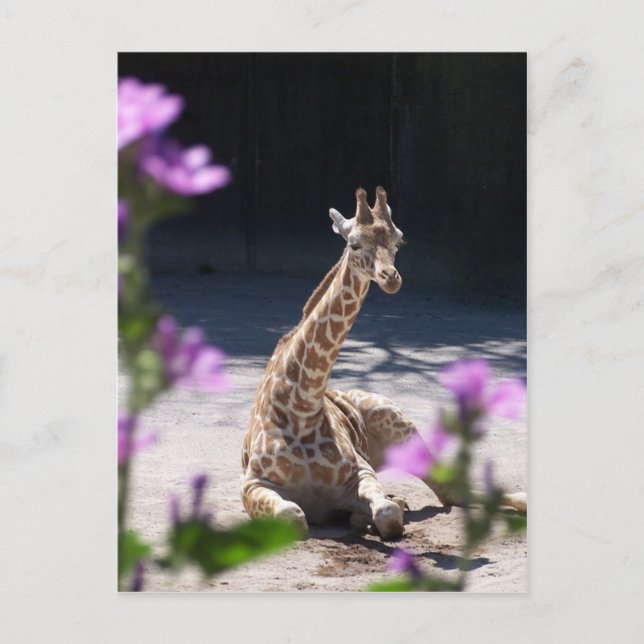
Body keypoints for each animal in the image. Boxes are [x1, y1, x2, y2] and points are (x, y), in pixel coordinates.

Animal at [241, 187, 526, 539]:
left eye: (398, 242)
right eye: (354, 244)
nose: (390, 277)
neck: (301, 409)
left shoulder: (362, 474)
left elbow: (388, 514)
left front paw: (376, 515)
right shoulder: (253, 484)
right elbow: (292, 516)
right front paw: (362, 516)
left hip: (399, 423)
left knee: (449, 492)